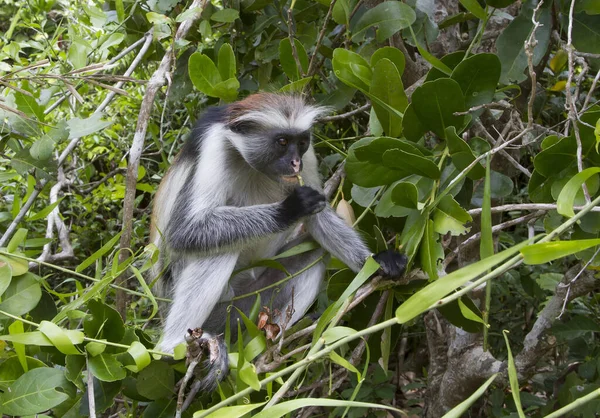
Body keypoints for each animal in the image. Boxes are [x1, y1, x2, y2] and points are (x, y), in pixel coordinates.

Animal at [148, 93, 408, 390]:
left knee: (315, 252)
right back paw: (172, 348)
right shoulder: (214, 144)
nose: (295, 163)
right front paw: (290, 209)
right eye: (282, 142)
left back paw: (279, 337)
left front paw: (376, 262)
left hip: (247, 308)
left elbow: (318, 219)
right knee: (217, 250)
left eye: (301, 142)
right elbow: (184, 231)